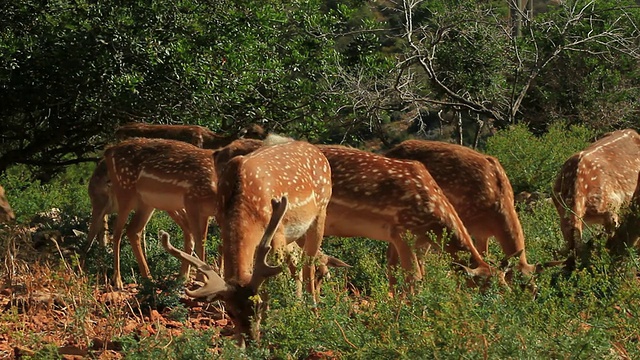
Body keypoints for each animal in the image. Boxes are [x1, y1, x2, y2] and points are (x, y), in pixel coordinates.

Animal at [101, 138, 219, 290]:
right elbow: (201, 239)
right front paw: (202, 279)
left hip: (148, 203)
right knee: (117, 233)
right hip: (124, 191)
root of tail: (108, 151)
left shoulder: (207, 212)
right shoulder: (193, 203)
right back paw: (118, 281)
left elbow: (205, 239)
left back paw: (150, 278)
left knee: (133, 230)